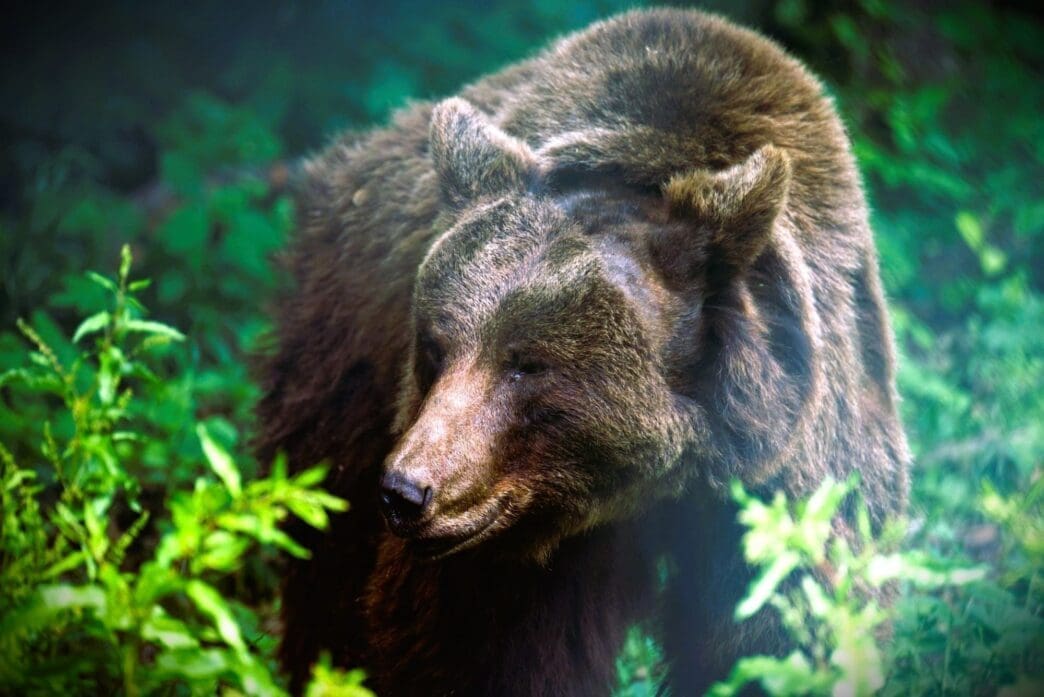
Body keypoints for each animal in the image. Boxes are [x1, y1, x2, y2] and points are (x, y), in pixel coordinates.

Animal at [256, 8, 909, 696]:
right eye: (436, 344)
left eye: (527, 364)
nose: (408, 490)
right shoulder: (505, 552)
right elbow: (479, 654)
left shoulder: (780, 479)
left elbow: (782, 636)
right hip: (342, 361)